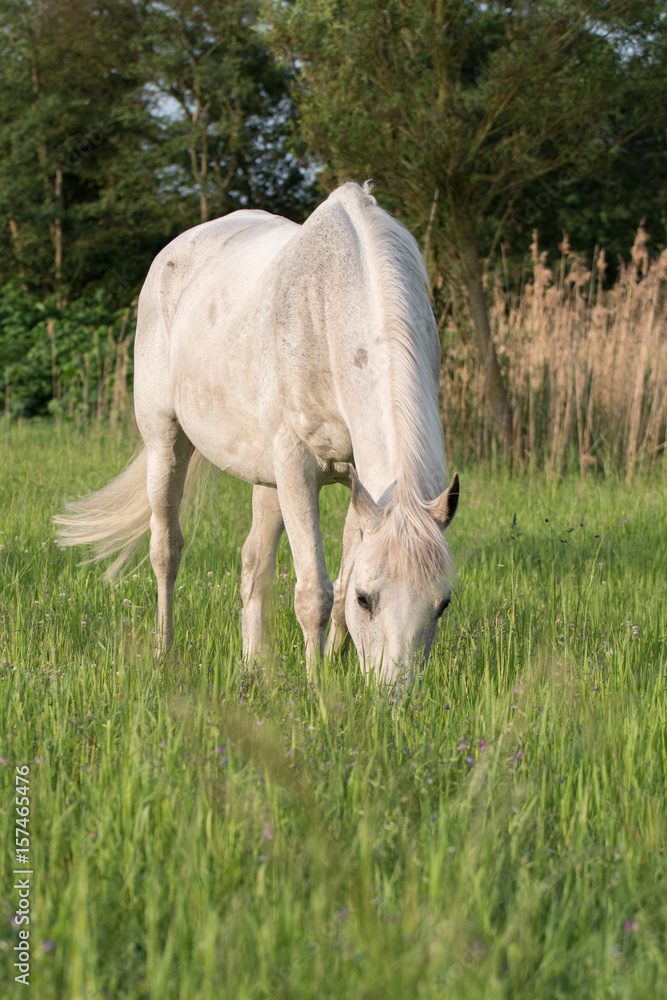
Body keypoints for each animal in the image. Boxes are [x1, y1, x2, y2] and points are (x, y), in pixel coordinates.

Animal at [55, 182, 459, 684]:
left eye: (442, 605)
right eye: (368, 601)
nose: (395, 694)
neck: (331, 305)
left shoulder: (357, 481)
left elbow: (335, 586)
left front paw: (332, 668)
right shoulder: (298, 468)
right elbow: (316, 594)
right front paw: (317, 688)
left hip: (267, 479)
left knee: (254, 564)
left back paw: (254, 665)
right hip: (167, 444)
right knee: (166, 550)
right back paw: (165, 652)